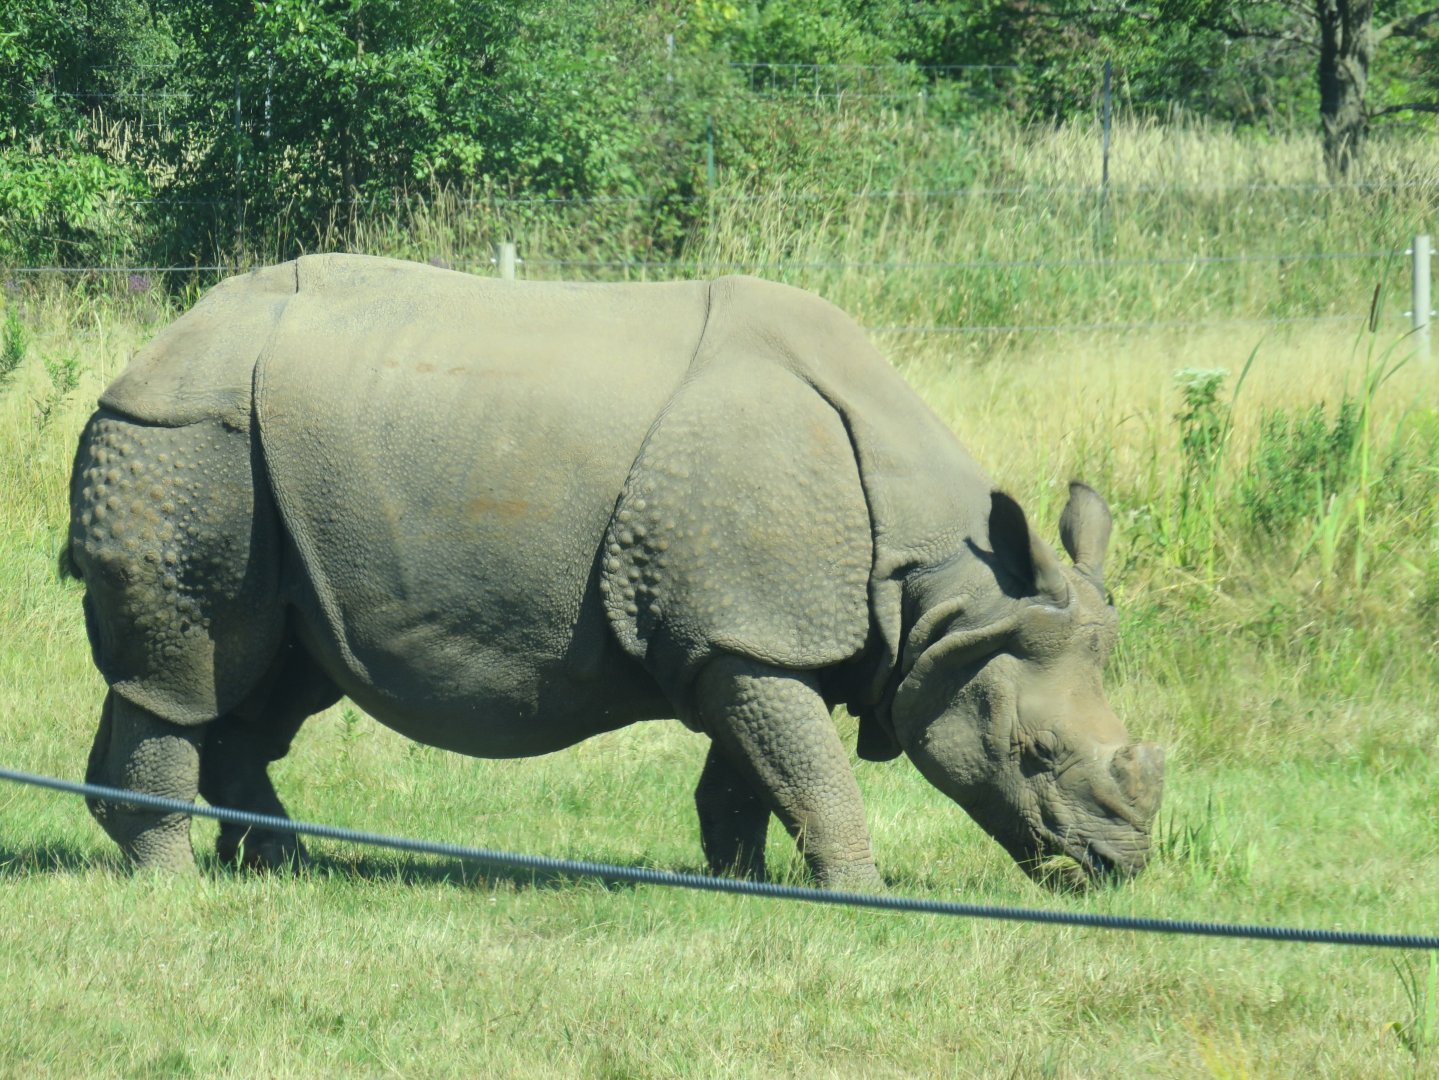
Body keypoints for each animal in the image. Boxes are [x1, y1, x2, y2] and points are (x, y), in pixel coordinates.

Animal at [66, 254, 1163, 889]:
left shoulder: (737, 634)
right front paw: (861, 897)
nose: (1118, 868)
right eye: (1032, 754)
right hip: (190, 441)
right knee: (191, 666)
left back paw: (282, 869)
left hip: (260, 465)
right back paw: (175, 886)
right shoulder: (750, 633)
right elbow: (810, 771)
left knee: (271, 673)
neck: (939, 593)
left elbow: (751, 772)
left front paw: (739, 887)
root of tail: (149, 348)